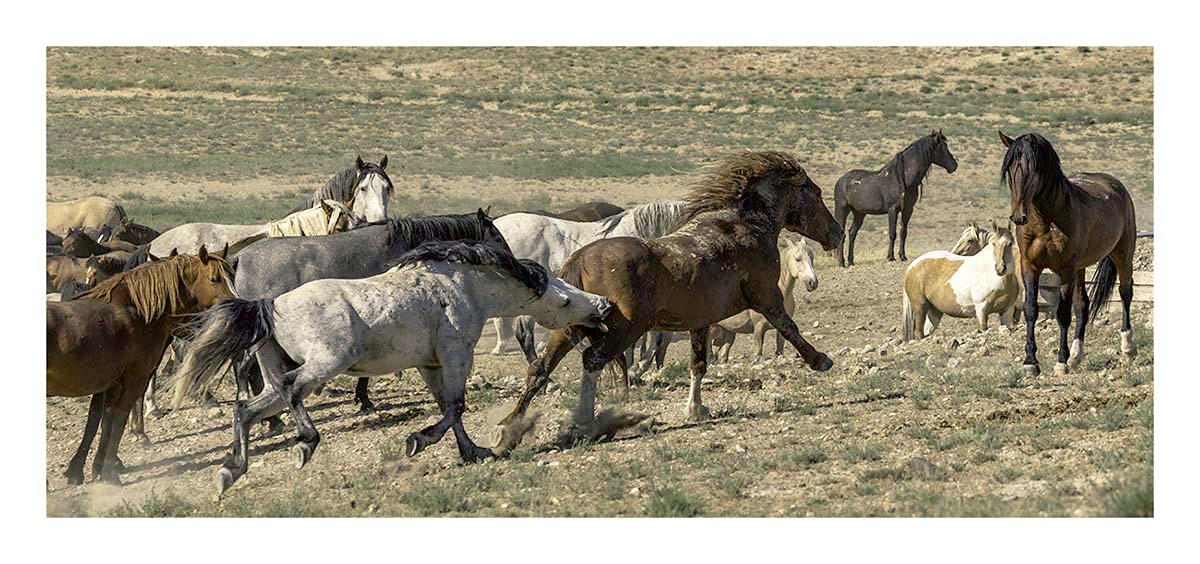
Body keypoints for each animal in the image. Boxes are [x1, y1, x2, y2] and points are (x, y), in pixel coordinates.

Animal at [47, 246, 234, 485]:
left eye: (232, 276)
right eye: (214, 279)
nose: (236, 304)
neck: (134, 310)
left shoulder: (113, 383)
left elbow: (104, 420)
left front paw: (95, 468)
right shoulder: (134, 379)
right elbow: (116, 420)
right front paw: (109, 472)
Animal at [171, 240, 613, 495]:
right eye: (565, 301)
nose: (603, 305)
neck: (463, 288)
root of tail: (270, 305)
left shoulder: (430, 364)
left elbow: (450, 410)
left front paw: (473, 452)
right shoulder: (455, 354)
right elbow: (455, 407)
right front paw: (419, 440)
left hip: (274, 379)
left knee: (246, 409)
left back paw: (231, 470)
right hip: (325, 364)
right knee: (293, 390)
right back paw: (305, 444)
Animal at [834, 130, 958, 266]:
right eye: (944, 148)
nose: (954, 166)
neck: (902, 179)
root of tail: (841, 180)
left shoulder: (908, 209)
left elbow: (903, 232)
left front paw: (902, 256)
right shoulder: (892, 209)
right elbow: (892, 233)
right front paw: (890, 257)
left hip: (859, 213)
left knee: (852, 233)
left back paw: (851, 261)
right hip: (842, 210)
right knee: (842, 234)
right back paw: (841, 262)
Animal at [998, 131, 1139, 377]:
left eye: (1032, 170)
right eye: (1009, 171)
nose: (1018, 217)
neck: (1045, 222)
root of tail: (1116, 186)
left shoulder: (1065, 270)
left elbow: (1063, 313)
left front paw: (1061, 361)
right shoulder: (1030, 267)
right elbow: (1031, 310)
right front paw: (1030, 362)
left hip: (1122, 254)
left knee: (1125, 292)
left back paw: (1128, 347)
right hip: (1081, 268)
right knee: (1083, 304)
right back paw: (1076, 355)